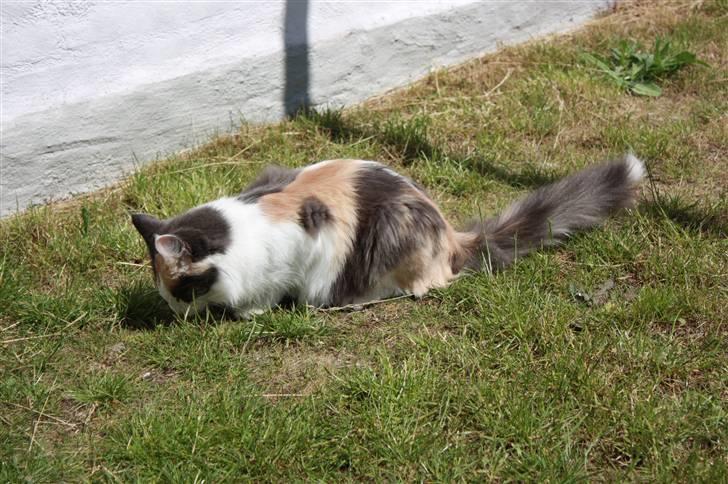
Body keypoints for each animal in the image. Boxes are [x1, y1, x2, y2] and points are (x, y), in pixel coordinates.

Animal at [129, 155, 644, 320]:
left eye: (181, 289)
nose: (173, 311)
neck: (240, 235)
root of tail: (451, 236)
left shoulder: (303, 247)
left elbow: (267, 293)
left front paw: (250, 312)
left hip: (396, 237)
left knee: (423, 288)